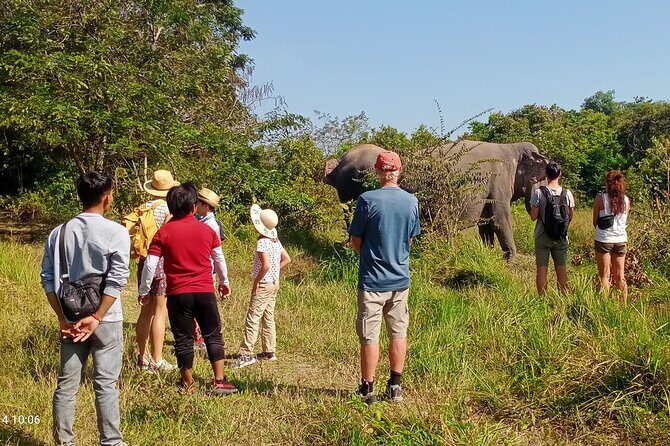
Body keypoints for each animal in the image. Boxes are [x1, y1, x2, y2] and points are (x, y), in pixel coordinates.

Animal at [323, 140, 549, 260]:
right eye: (545, 176)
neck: (512, 148)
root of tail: (340, 160)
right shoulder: (499, 180)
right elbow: (500, 219)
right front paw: (509, 258)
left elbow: (485, 223)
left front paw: (489, 254)